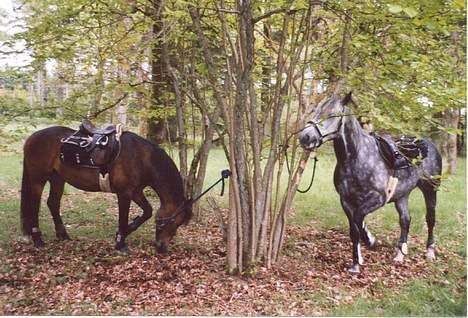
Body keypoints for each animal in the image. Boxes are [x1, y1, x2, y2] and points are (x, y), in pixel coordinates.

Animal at [20, 125, 192, 252]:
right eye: (174, 222)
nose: (162, 248)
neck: (142, 158)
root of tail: (31, 138)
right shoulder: (124, 193)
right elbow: (123, 218)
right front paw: (120, 243)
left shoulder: (136, 191)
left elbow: (147, 211)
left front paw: (126, 231)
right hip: (38, 179)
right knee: (34, 206)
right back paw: (38, 240)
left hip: (57, 179)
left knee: (53, 203)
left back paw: (63, 235)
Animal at [300, 92, 442, 274]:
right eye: (316, 111)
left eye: (332, 114)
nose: (305, 137)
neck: (357, 157)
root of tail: (428, 144)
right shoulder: (346, 201)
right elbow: (354, 229)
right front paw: (356, 262)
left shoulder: (377, 199)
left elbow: (359, 219)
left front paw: (369, 242)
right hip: (402, 195)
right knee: (405, 220)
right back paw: (400, 254)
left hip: (430, 189)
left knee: (430, 219)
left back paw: (430, 252)